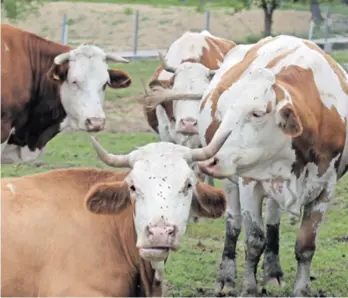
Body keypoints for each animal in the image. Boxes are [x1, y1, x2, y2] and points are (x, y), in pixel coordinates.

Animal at [182, 35, 346, 296]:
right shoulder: (249, 182)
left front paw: (301, 289)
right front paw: (249, 287)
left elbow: (305, 246)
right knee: (233, 225)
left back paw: (273, 271)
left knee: (272, 222)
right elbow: (254, 240)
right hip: (232, 183)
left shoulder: (325, 189)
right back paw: (226, 277)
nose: (211, 160)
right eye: (223, 110)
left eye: (257, 113)